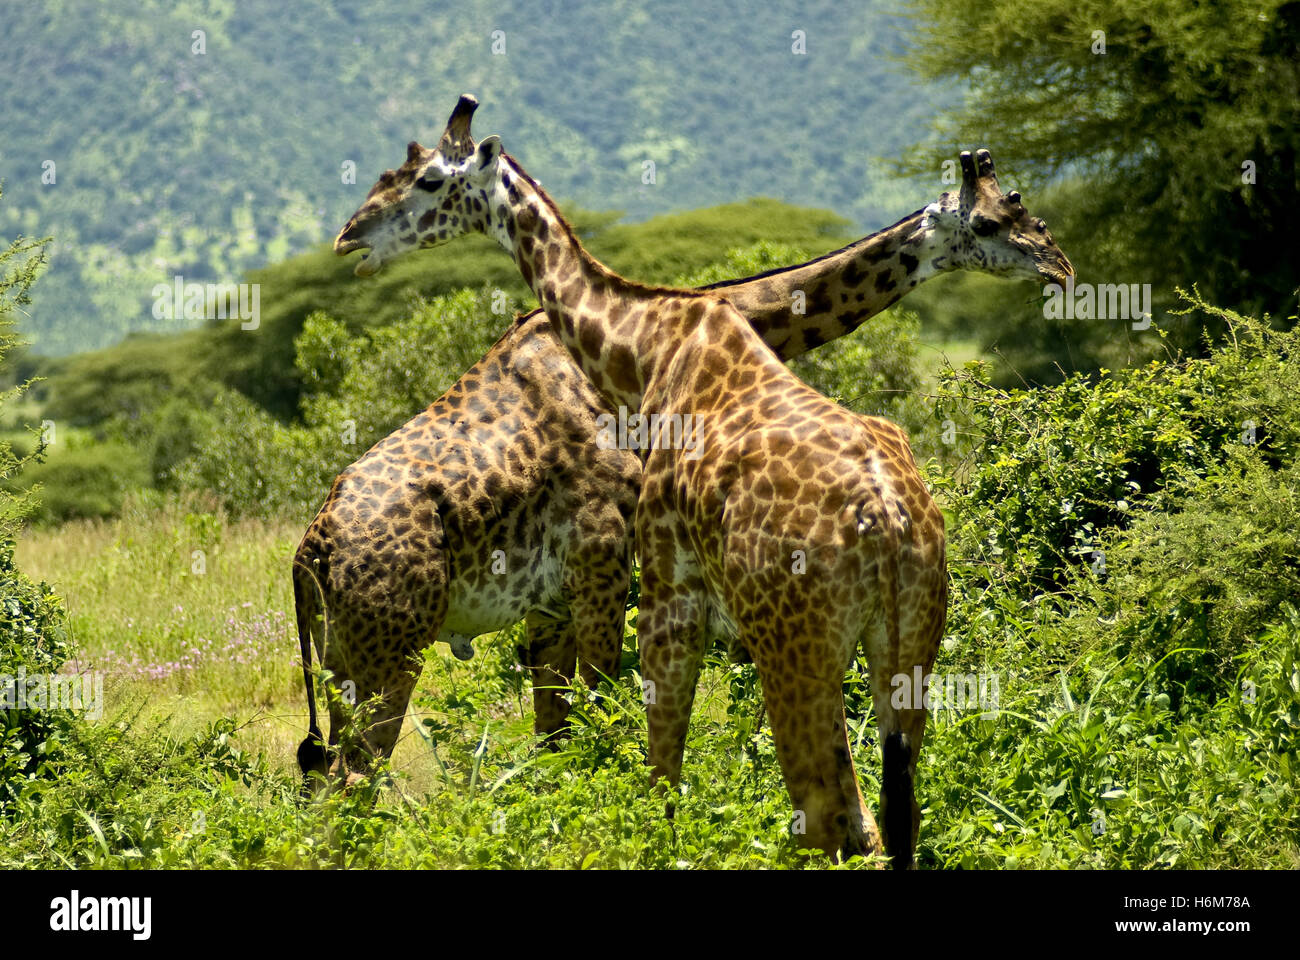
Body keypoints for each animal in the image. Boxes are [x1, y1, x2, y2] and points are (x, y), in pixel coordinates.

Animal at [325, 93, 1076, 863]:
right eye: (996, 217)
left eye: (425, 181)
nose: (351, 238)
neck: (648, 343)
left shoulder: (650, 587)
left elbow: (639, 762)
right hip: (906, 640)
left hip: (797, 647)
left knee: (835, 815)